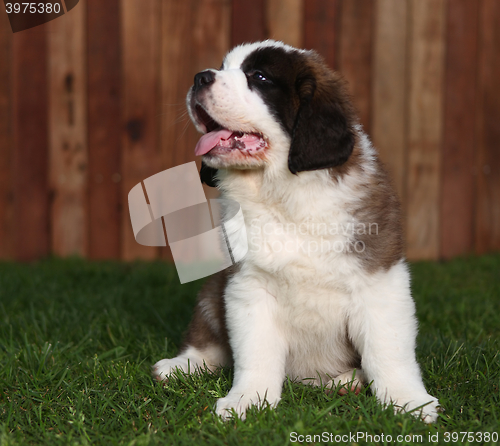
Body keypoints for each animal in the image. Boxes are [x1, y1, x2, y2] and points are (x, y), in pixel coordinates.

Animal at [151, 40, 438, 424]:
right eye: (224, 67)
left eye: (259, 77)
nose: (200, 77)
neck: (284, 193)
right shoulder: (247, 284)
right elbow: (254, 352)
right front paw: (248, 399)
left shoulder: (379, 281)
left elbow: (388, 350)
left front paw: (408, 401)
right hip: (213, 291)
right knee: (210, 337)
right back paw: (182, 365)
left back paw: (346, 381)